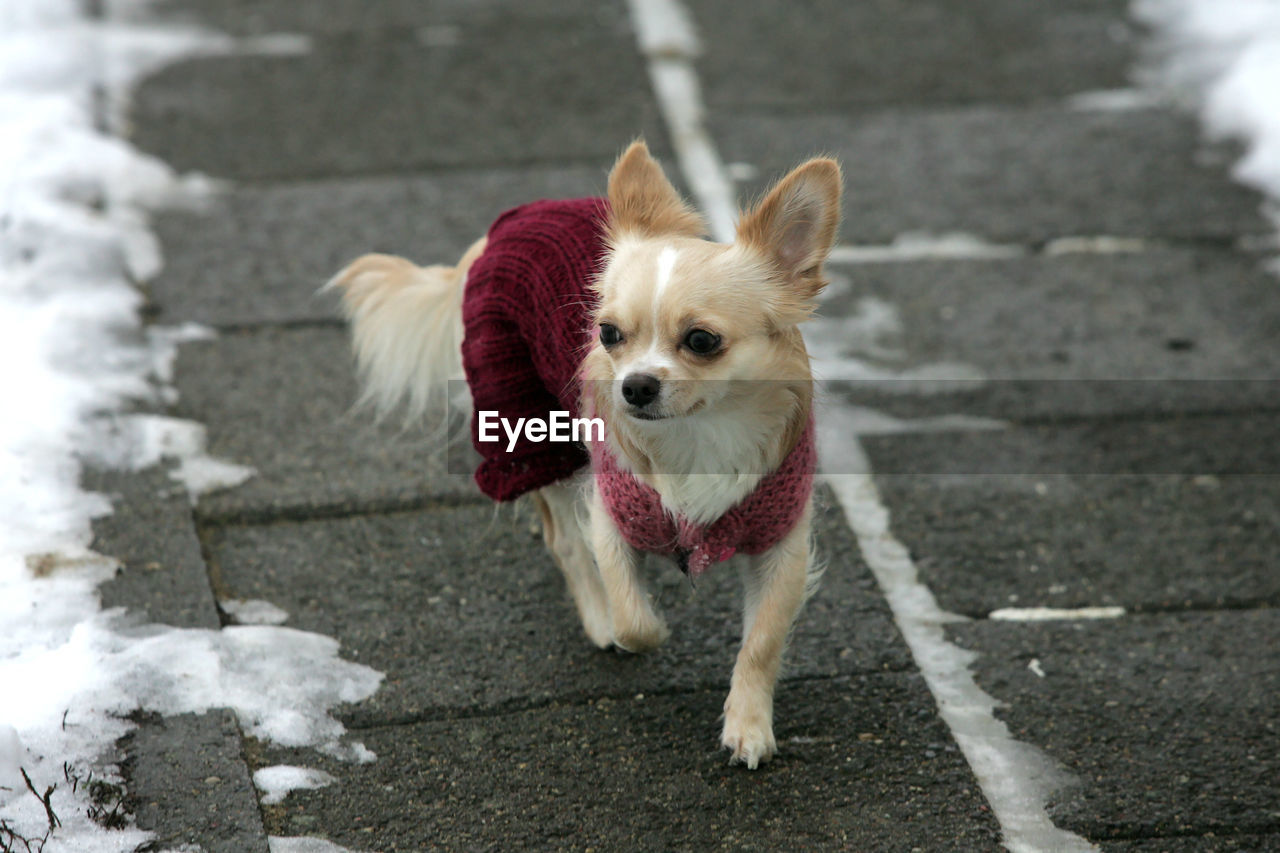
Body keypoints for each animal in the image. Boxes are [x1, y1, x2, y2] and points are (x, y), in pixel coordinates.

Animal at [330, 139, 839, 763]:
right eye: (608, 334)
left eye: (702, 341)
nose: (634, 386)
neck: (701, 432)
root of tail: (508, 224)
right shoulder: (612, 513)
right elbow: (631, 614)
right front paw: (640, 624)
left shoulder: (780, 542)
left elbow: (762, 641)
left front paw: (748, 725)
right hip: (526, 427)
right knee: (564, 540)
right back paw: (594, 617)